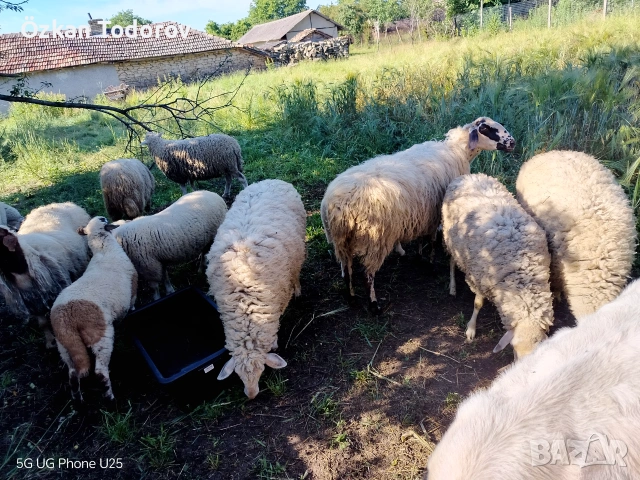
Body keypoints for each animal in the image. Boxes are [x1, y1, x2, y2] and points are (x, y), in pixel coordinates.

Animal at [51, 216, 137, 402]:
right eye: (105, 219)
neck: (104, 250)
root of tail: (66, 317)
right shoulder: (133, 287)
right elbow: (132, 303)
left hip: (65, 345)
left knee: (72, 373)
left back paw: (78, 398)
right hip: (99, 335)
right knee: (99, 371)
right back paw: (109, 396)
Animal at [206, 179, 306, 400]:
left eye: (262, 370)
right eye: (238, 375)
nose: (251, 395)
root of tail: (270, 180)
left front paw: (275, 342)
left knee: (296, 272)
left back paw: (298, 290)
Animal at [321, 117, 515, 309]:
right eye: (486, 129)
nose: (512, 143)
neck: (457, 150)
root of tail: (339, 205)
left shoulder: (424, 213)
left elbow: (422, 238)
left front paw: (419, 256)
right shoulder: (435, 212)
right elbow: (432, 240)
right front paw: (430, 264)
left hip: (341, 240)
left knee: (346, 270)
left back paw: (351, 298)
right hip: (375, 239)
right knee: (367, 275)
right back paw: (374, 304)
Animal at [442, 173, 554, 359]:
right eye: (513, 348)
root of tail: (469, 175)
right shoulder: (478, 278)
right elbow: (477, 304)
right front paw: (471, 329)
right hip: (451, 239)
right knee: (451, 261)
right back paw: (452, 287)